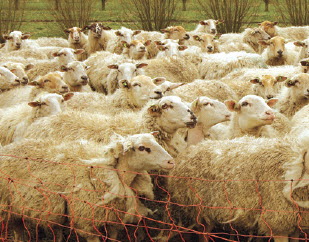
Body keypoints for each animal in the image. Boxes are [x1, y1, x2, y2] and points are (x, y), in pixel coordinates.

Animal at [0, 132, 173, 242]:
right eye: (142, 148)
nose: (171, 161)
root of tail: (7, 148)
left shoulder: (113, 220)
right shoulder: (87, 223)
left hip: (17, 207)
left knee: (20, 228)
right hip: (5, 205)